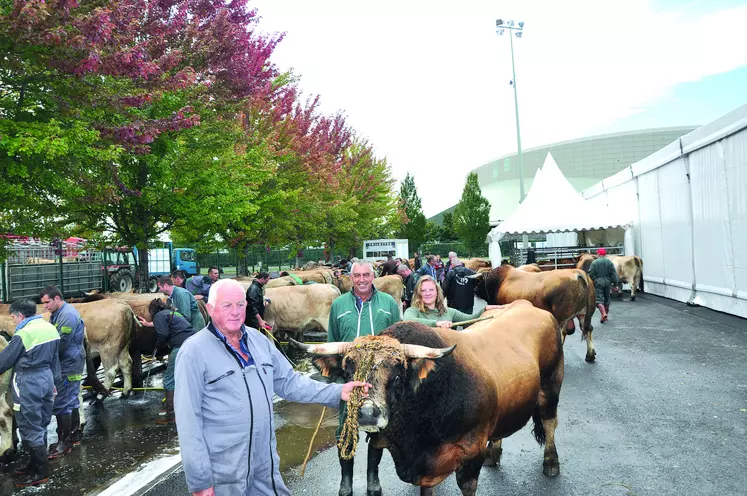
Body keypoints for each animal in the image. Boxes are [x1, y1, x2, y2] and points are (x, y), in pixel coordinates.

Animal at [296, 298, 564, 496]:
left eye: (397, 374)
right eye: (348, 371)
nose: (367, 414)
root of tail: (526, 304)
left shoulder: (470, 454)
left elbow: (467, 485)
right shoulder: (425, 468)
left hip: (551, 385)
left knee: (550, 422)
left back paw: (551, 463)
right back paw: (494, 454)